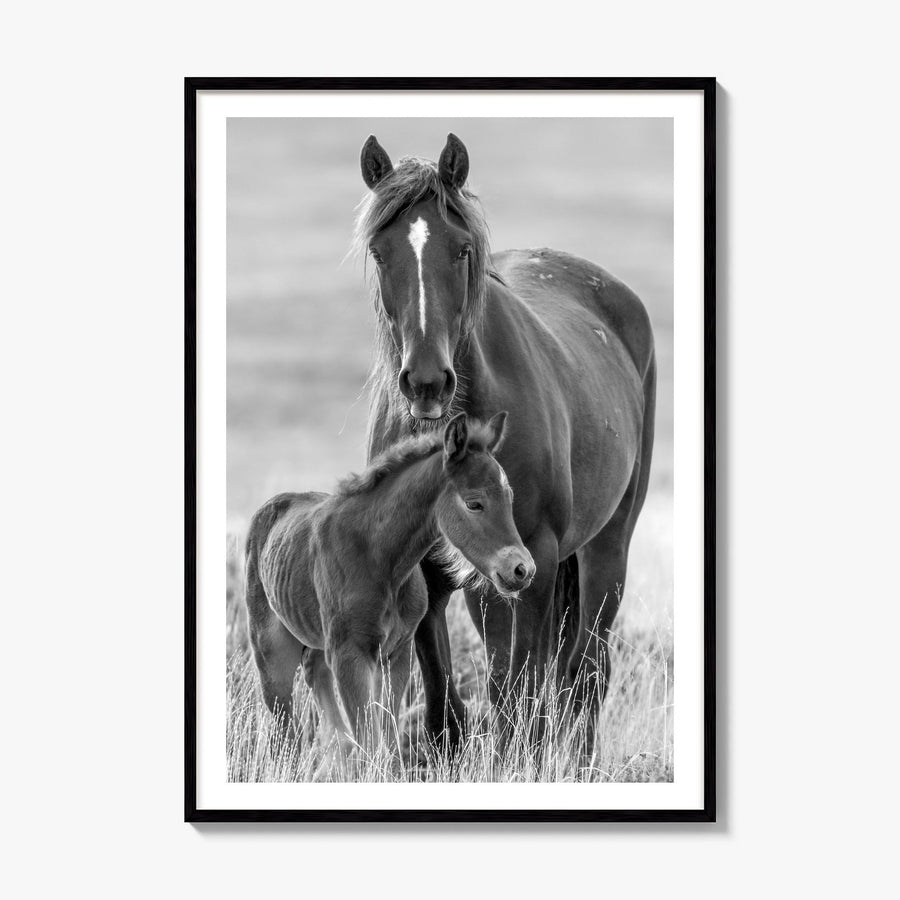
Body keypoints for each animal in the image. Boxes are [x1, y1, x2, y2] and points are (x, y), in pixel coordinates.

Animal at [243, 412, 533, 758]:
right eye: (474, 503)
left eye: (510, 497)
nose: (522, 569)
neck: (382, 562)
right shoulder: (350, 655)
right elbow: (371, 742)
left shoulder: (397, 653)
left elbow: (388, 739)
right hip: (271, 651)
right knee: (285, 724)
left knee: (319, 686)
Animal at [357, 133, 656, 748]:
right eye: (379, 252)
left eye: (462, 249)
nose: (427, 381)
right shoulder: (429, 572)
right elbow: (446, 699)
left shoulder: (530, 558)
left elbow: (518, 694)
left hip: (604, 550)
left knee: (585, 671)